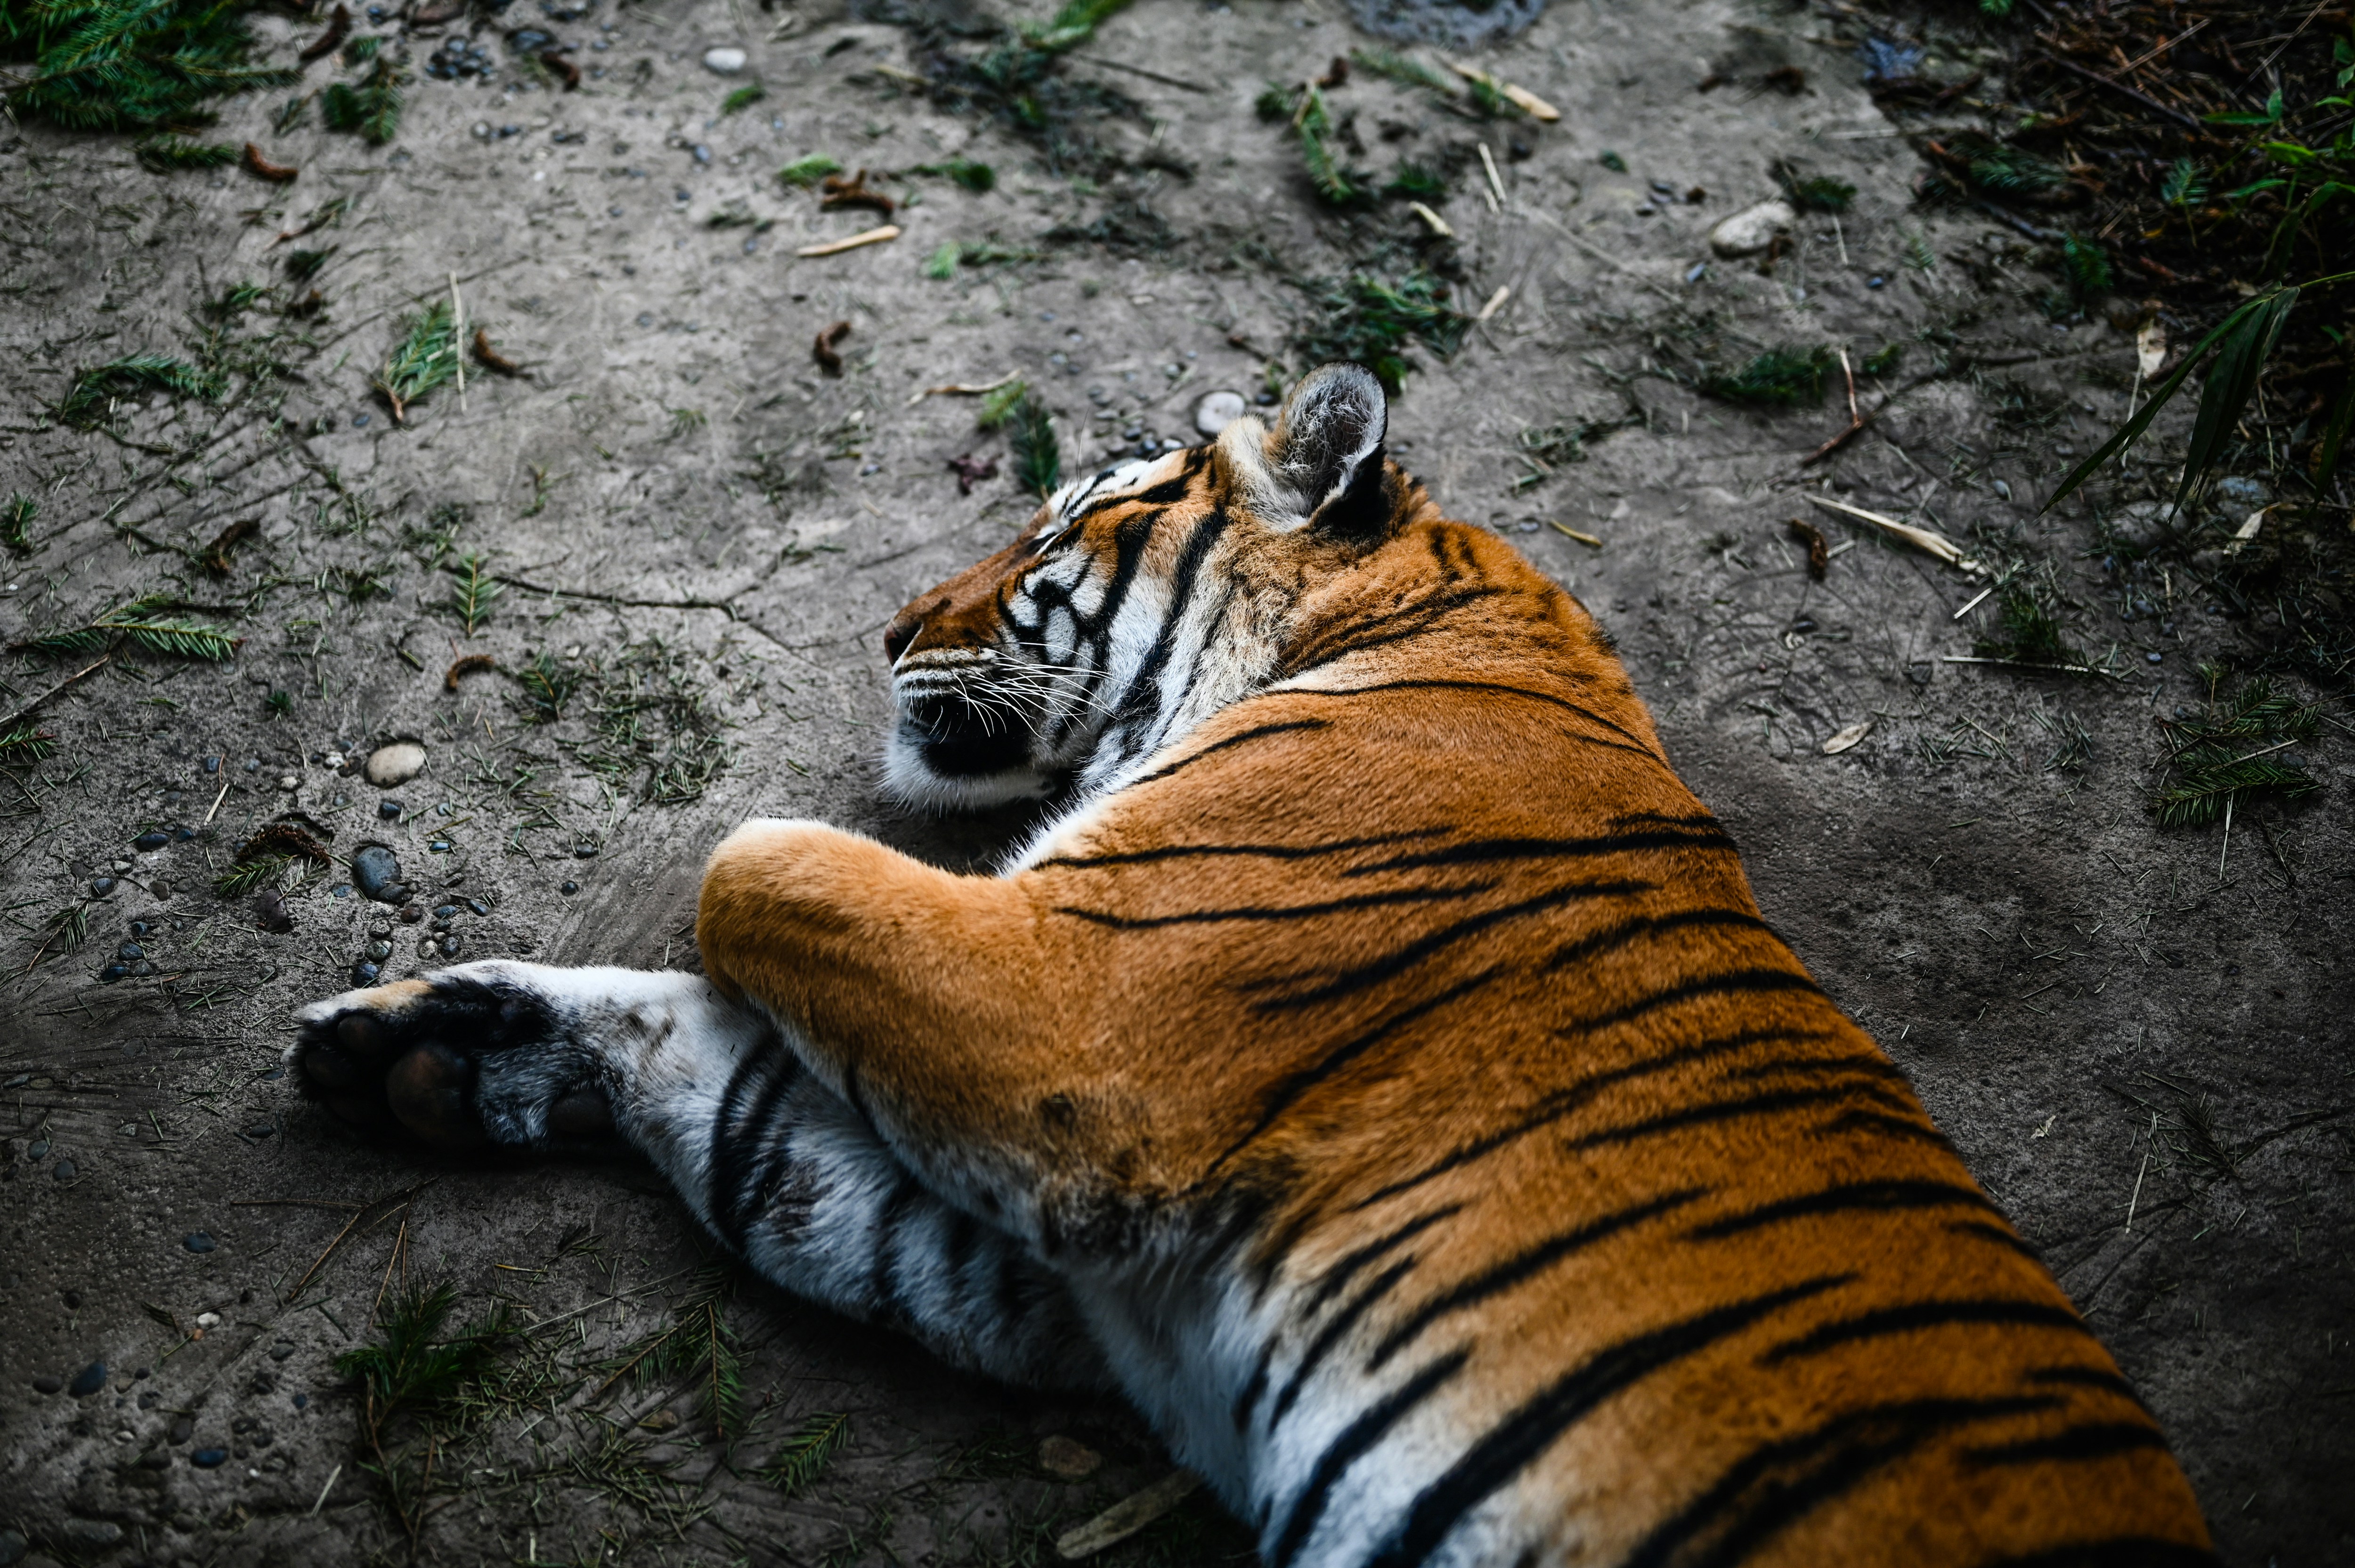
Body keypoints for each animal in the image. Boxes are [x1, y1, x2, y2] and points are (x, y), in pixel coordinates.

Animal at [291, 363, 2216, 1567]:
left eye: (1050, 530)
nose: (888, 627)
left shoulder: (1080, 1035)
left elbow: (744, 865)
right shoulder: (1093, 1280)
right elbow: (742, 1114)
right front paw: (428, 1051)